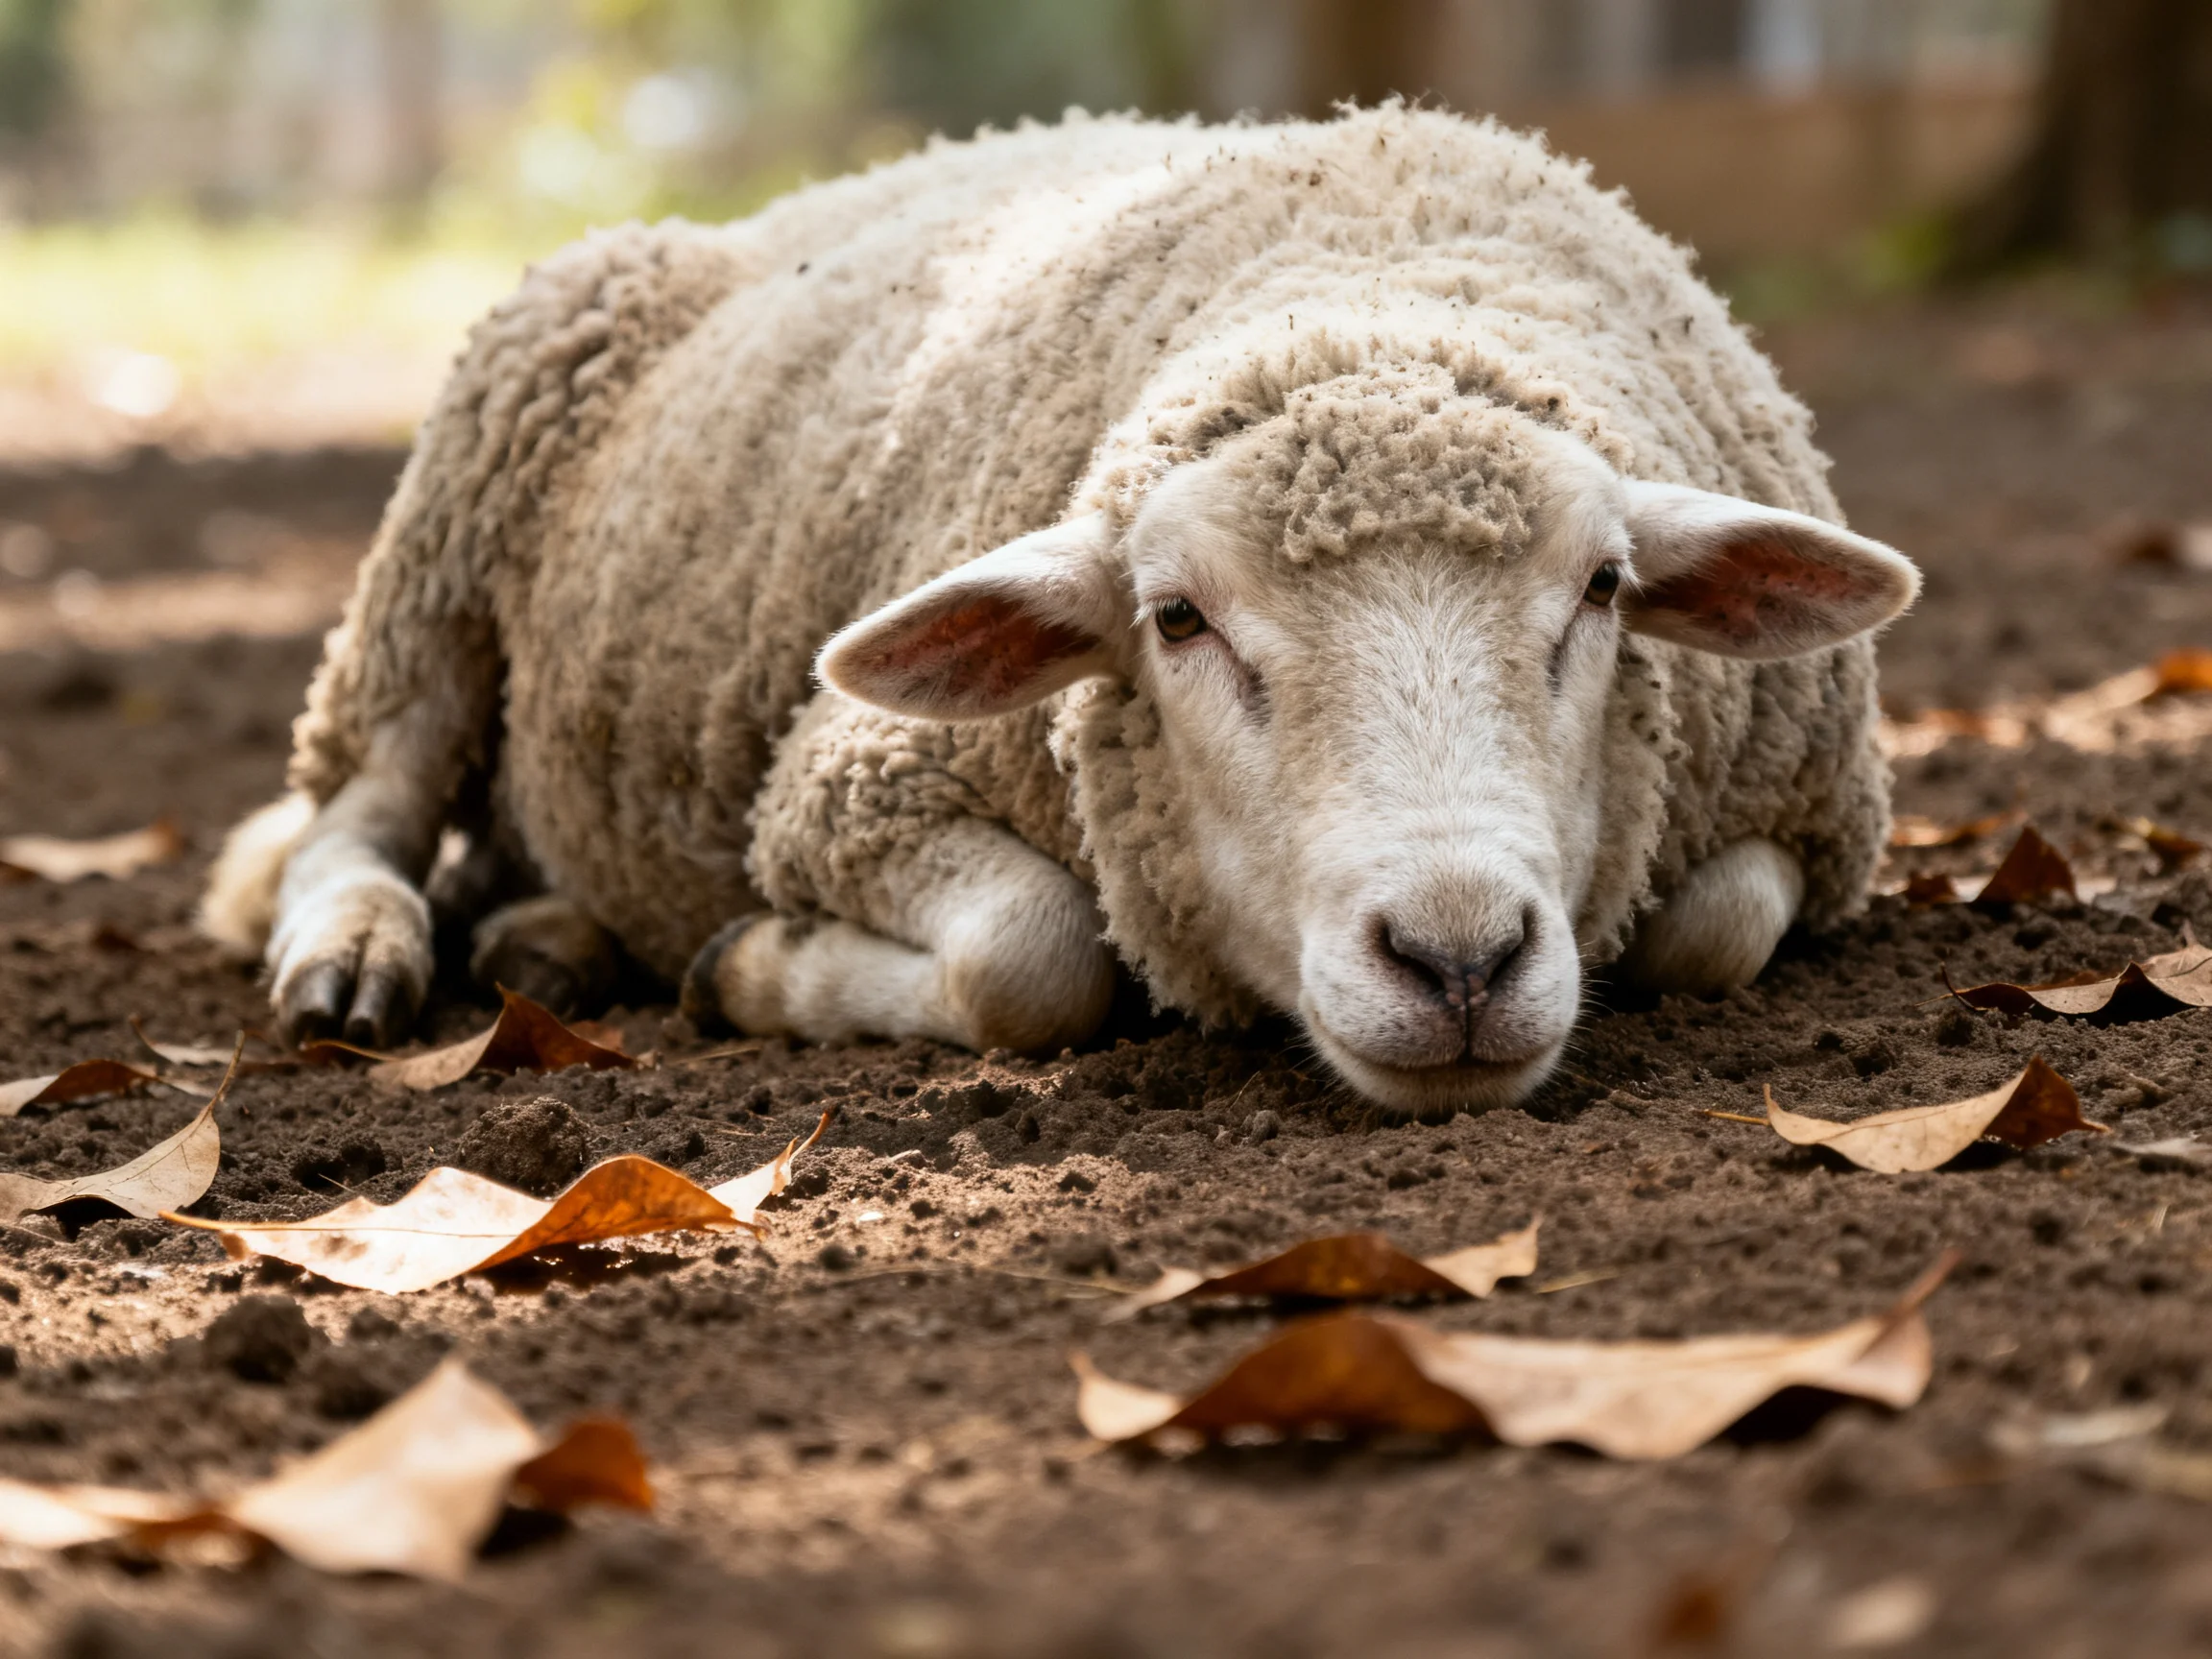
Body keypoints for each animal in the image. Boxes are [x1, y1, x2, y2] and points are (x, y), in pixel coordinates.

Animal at [202, 105, 1918, 1116]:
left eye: (1607, 588)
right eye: (1175, 621)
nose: (1457, 962)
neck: (1376, 272)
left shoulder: (1797, 810)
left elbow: (1714, 928)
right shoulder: (847, 786)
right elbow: (1036, 965)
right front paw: (752, 971)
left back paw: (551, 939)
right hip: (444, 540)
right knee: (364, 802)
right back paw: (357, 956)